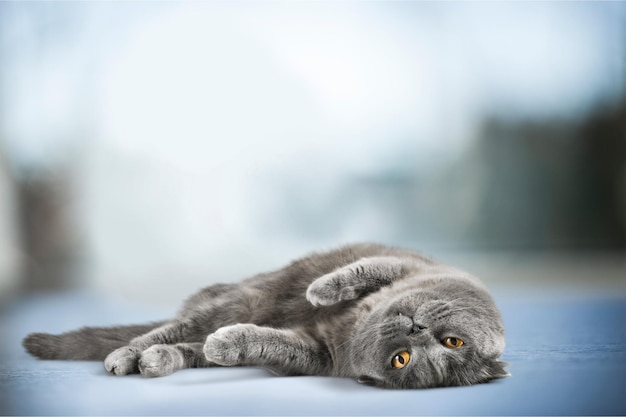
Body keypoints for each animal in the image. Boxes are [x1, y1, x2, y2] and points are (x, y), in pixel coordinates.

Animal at [23, 242, 508, 388]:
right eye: (453, 340)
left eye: (402, 360)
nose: (417, 328)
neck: (359, 324)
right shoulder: (407, 265)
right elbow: (364, 270)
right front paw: (320, 291)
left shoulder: (317, 355)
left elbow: (269, 343)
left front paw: (230, 343)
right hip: (244, 299)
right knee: (168, 328)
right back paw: (127, 354)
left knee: (191, 344)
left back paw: (156, 360)